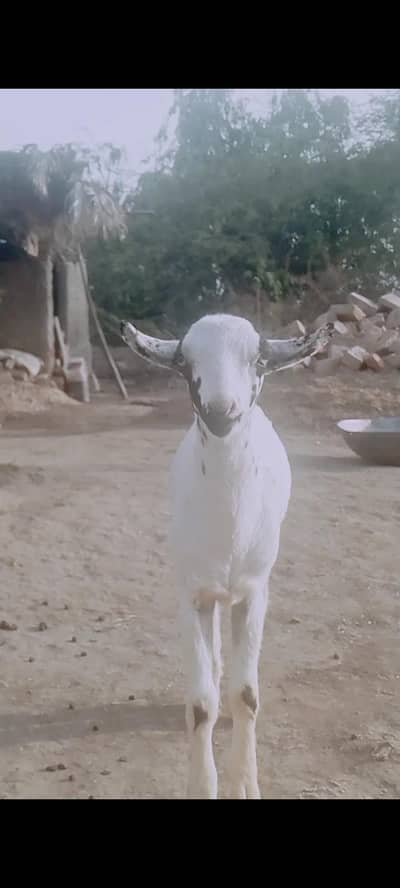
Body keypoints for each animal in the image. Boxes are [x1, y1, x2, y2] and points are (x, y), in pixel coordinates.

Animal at [120, 313, 332, 799]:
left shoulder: (255, 593)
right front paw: (203, 785)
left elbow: (248, 695)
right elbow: (200, 704)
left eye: (259, 360)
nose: (221, 411)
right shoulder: (190, 594)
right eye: (184, 363)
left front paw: (244, 784)